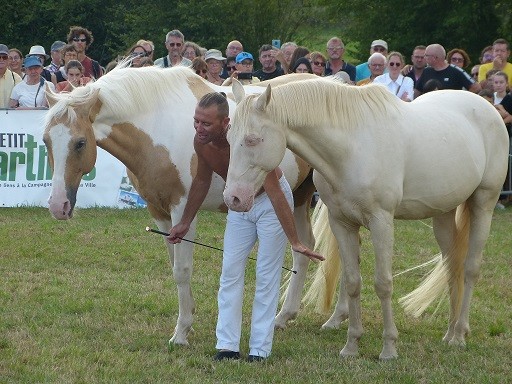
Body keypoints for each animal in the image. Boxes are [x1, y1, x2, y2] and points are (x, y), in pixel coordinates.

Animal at [42, 67, 320, 346]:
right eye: (45, 141)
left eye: (80, 143)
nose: (58, 205)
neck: (157, 127)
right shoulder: (159, 213)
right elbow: (174, 264)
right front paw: (188, 320)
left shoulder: (183, 210)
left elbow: (182, 270)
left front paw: (182, 331)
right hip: (298, 198)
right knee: (303, 249)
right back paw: (284, 316)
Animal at [223, 79, 508, 360]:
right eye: (228, 137)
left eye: (252, 140)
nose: (233, 198)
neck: (352, 147)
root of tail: (487, 107)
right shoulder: (342, 223)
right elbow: (352, 282)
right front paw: (351, 345)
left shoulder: (382, 222)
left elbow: (383, 283)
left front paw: (389, 348)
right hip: (443, 214)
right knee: (452, 268)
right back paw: (449, 333)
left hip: (484, 204)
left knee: (470, 268)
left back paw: (459, 335)